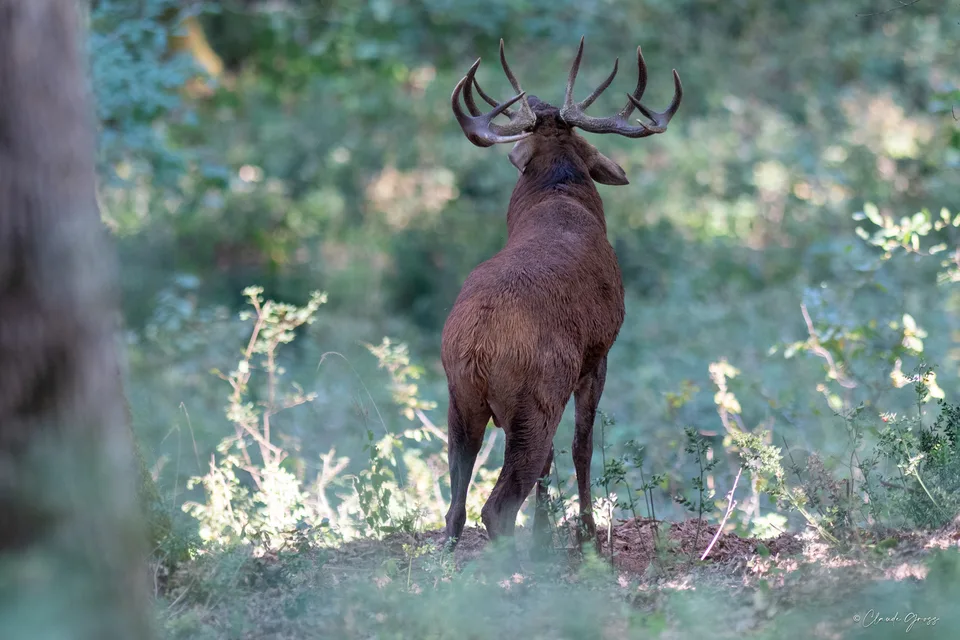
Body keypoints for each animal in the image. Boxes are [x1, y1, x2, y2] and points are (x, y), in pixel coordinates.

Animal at [441, 37, 682, 552]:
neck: (557, 197)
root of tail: (477, 346)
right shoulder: (599, 352)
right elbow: (582, 445)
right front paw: (586, 533)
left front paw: (544, 532)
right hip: (536, 396)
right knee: (497, 505)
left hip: (459, 398)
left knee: (455, 507)